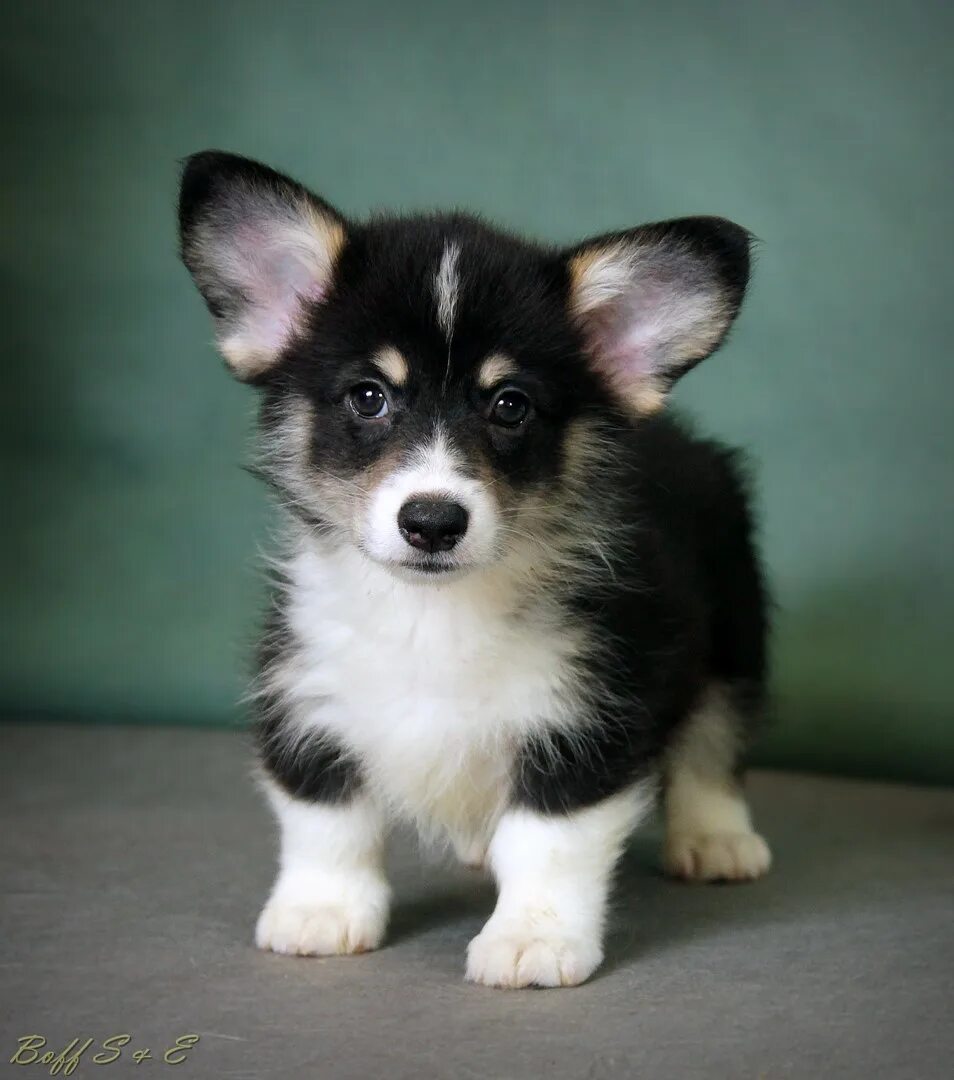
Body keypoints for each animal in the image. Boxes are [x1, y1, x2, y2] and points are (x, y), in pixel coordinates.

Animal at [178, 150, 771, 989]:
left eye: (510, 405)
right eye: (368, 396)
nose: (432, 521)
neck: (433, 615)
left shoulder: (586, 717)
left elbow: (548, 842)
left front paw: (533, 939)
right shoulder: (307, 697)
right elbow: (327, 822)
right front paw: (320, 912)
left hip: (733, 637)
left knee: (713, 741)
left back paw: (717, 839)